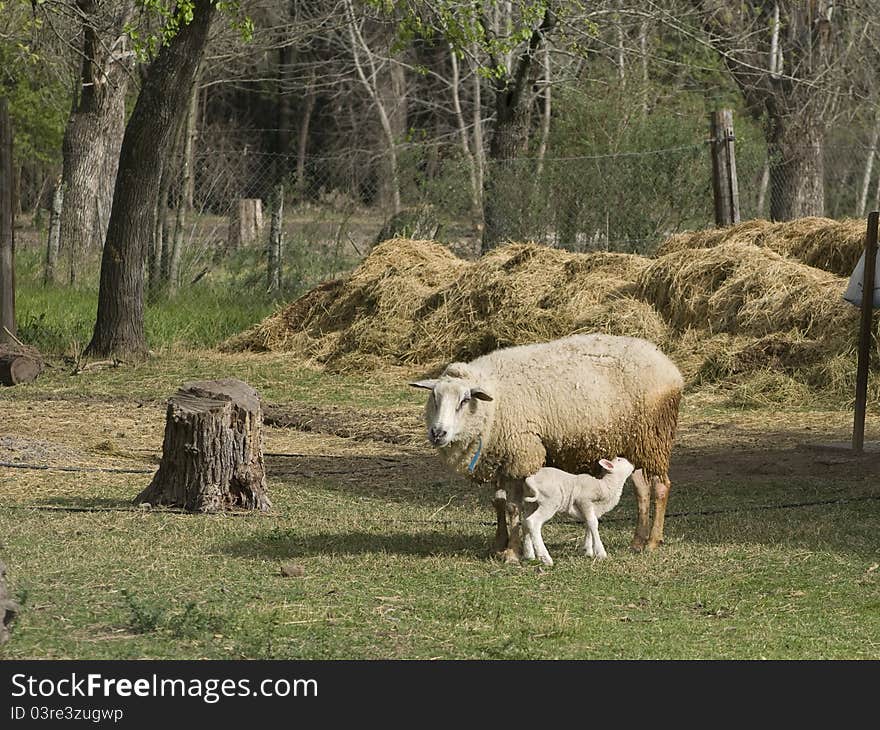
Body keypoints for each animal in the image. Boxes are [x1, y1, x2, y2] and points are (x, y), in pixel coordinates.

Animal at [410, 332, 684, 560]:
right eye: (434, 398)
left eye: (464, 400)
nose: (438, 433)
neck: (494, 403)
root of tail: (667, 364)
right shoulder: (498, 457)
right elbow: (498, 503)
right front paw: (498, 546)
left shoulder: (521, 455)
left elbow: (514, 507)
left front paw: (512, 552)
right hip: (633, 445)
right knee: (641, 489)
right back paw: (637, 541)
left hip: (655, 437)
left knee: (660, 487)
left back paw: (652, 542)